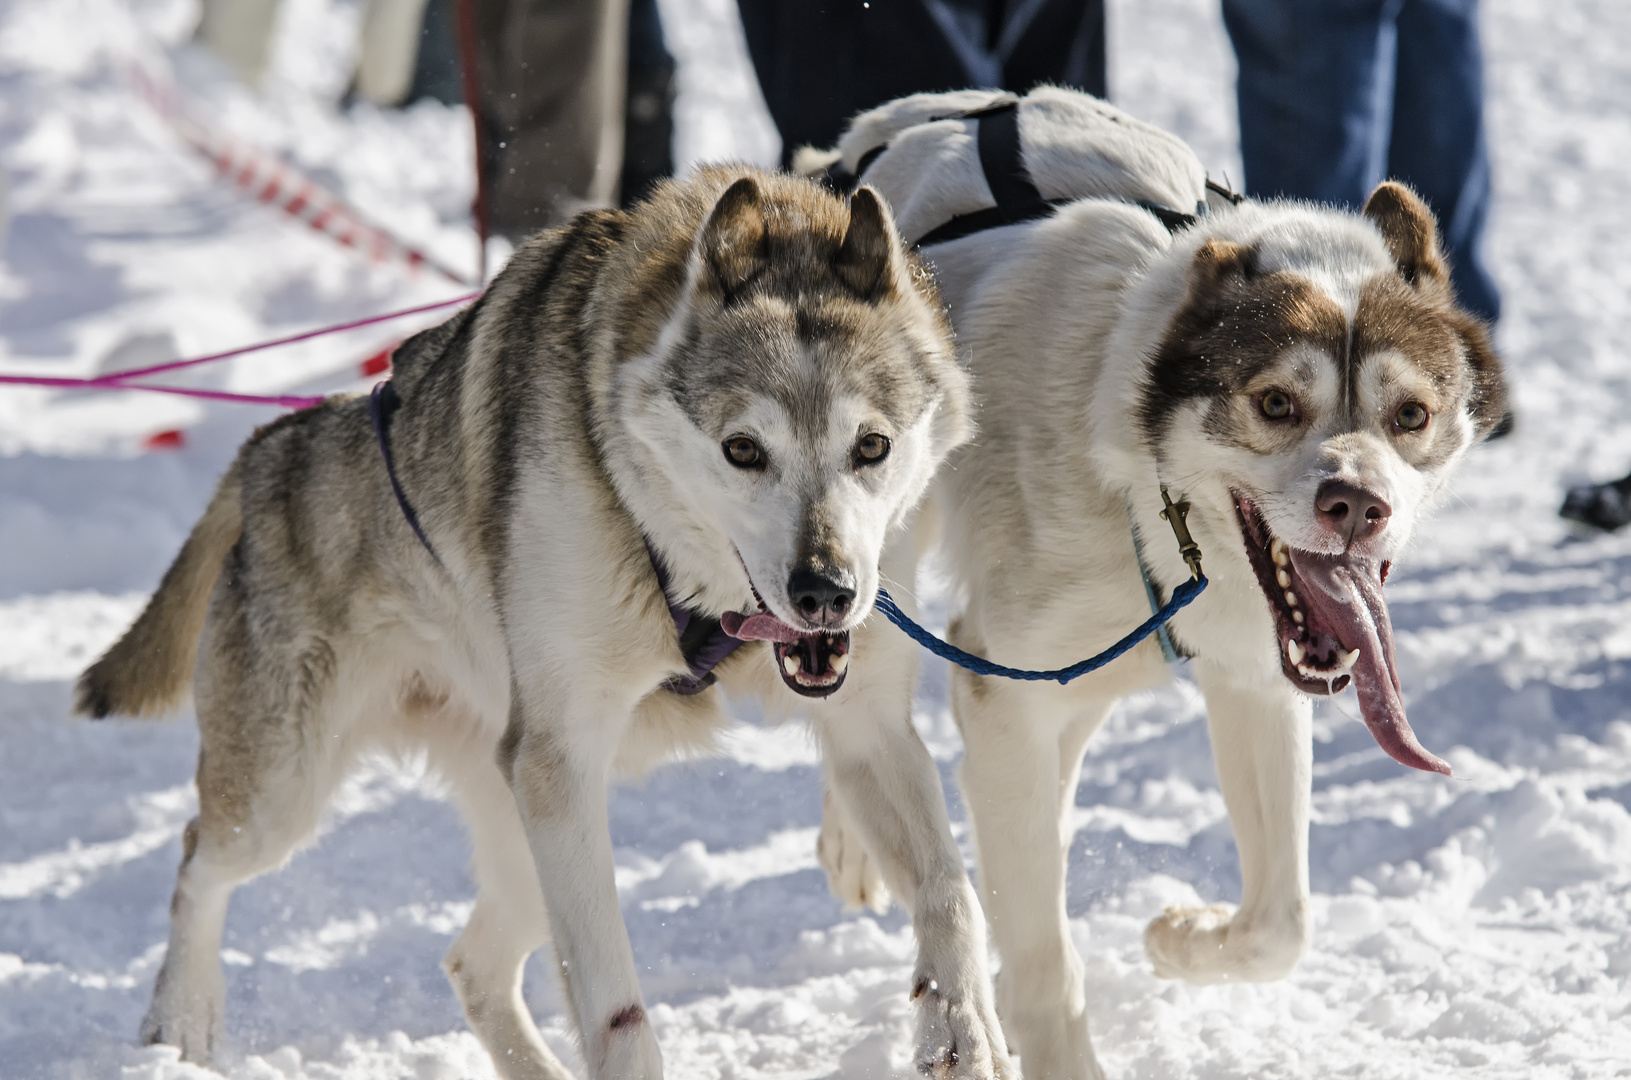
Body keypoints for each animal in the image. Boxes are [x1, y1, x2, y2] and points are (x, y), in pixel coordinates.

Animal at [86, 167, 1017, 1080]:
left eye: (871, 446)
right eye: (743, 450)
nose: (824, 591)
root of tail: (272, 445)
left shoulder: (870, 732)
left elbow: (952, 893)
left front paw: (963, 1029)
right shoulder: (561, 760)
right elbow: (618, 1012)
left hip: (523, 835)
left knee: (472, 965)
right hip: (295, 795)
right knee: (199, 861)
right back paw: (181, 1021)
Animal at [799, 88, 1500, 1076]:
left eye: (1411, 415)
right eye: (1274, 403)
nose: (1356, 505)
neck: (1152, 500)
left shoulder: (1253, 681)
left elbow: (1281, 923)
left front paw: (1182, 938)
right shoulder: (1001, 690)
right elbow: (1042, 957)